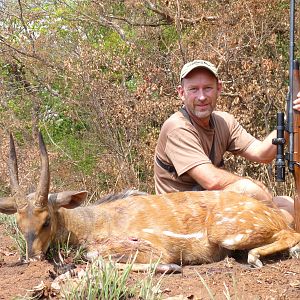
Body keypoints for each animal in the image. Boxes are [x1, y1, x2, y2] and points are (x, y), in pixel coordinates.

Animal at [0, 134, 300, 272]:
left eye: (46, 220)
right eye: (18, 223)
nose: (32, 258)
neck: (90, 224)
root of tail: (274, 214)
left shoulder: (151, 246)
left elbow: (97, 258)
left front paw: (171, 267)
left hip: (226, 233)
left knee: (288, 234)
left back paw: (258, 257)